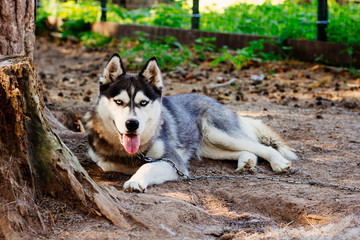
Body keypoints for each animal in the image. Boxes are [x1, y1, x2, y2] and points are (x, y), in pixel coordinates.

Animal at [84, 53, 298, 192]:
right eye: (119, 102)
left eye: (143, 102)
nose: (132, 124)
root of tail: (217, 102)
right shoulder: (103, 160)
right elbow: (113, 164)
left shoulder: (175, 163)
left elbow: (147, 166)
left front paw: (135, 181)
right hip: (211, 147)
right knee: (248, 150)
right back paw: (247, 161)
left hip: (219, 133)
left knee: (262, 147)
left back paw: (278, 162)